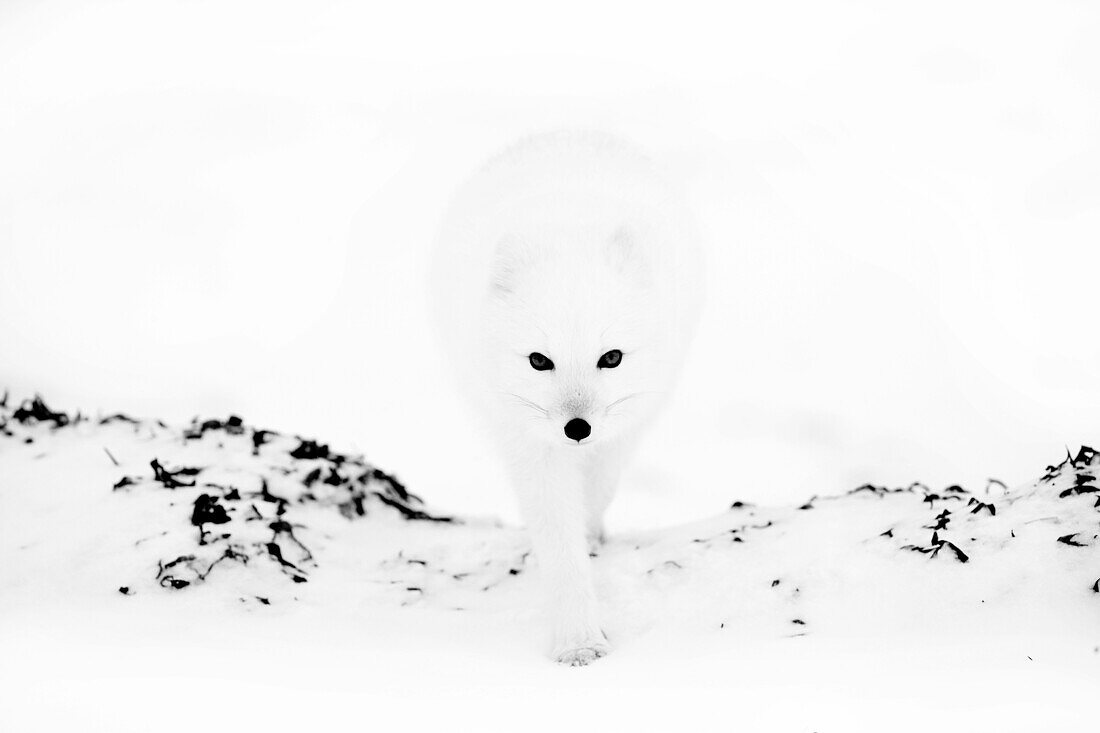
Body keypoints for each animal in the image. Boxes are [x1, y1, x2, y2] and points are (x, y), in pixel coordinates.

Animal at [429, 129, 704, 660]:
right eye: (540, 361)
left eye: (611, 357)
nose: (577, 428)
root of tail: (567, 135)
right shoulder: (530, 445)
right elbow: (559, 541)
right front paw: (578, 639)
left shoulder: (622, 430)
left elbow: (595, 495)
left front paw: (589, 539)